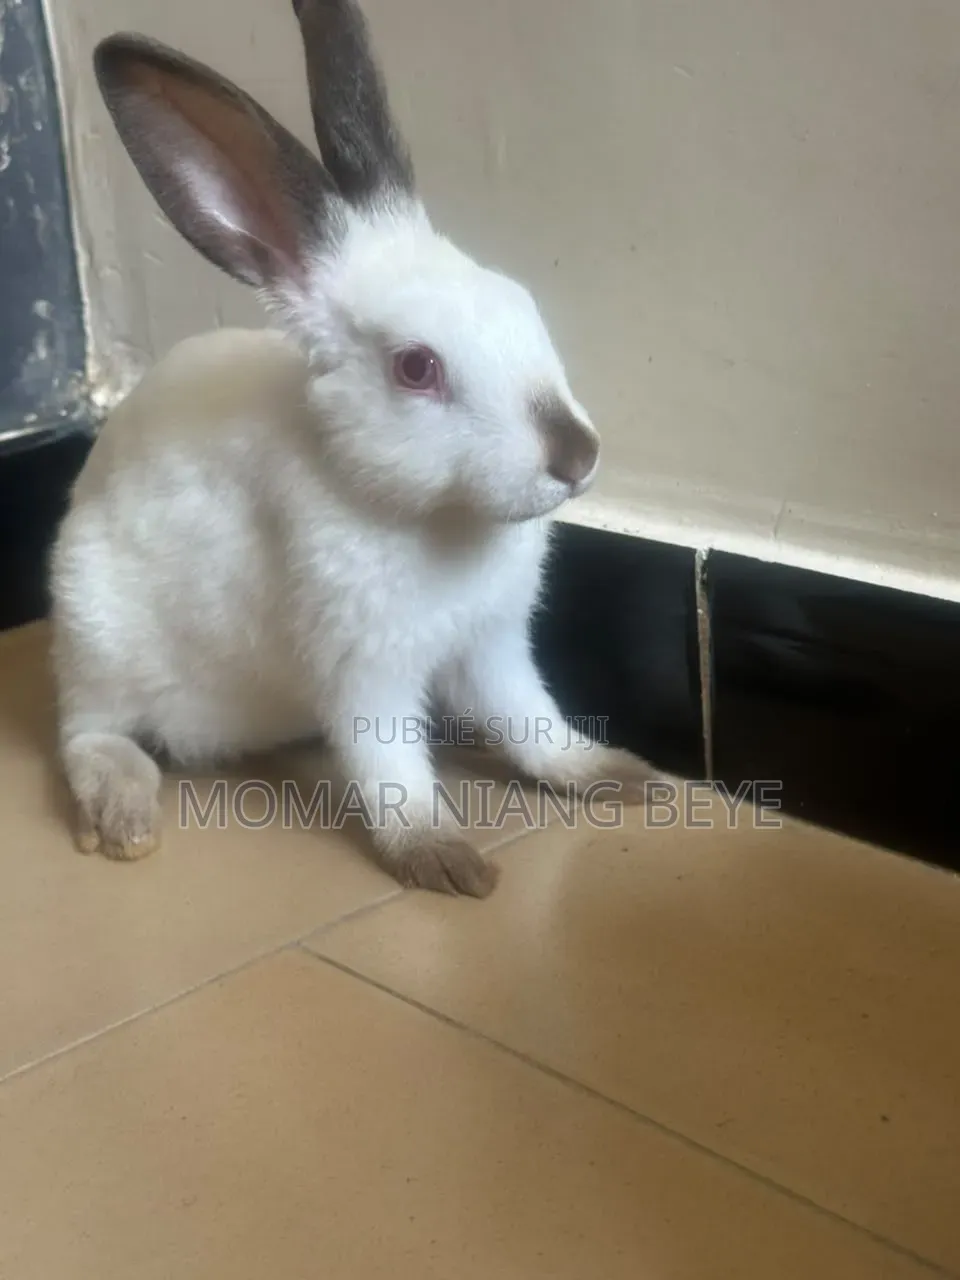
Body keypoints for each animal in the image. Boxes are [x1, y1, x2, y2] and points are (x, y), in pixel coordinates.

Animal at [50, 0, 658, 898]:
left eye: (519, 301)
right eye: (416, 368)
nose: (576, 457)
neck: (435, 519)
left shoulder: (494, 646)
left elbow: (532, 723)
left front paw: (617, 778)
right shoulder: (363, 666)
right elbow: (389, 766)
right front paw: (446, 862)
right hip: (98, 639)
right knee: (88, 736)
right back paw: (124, 817)